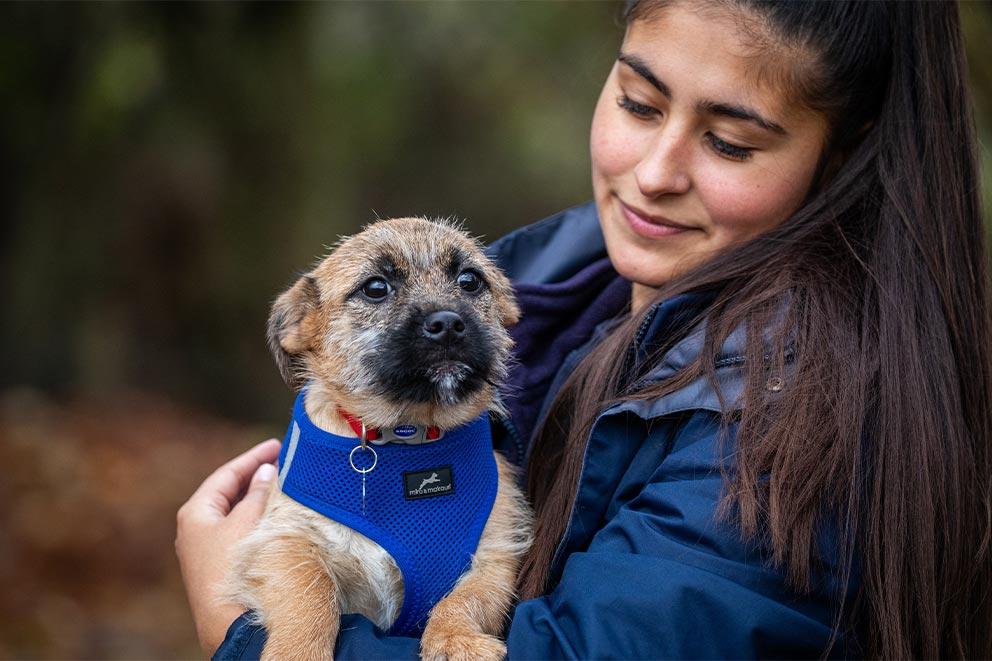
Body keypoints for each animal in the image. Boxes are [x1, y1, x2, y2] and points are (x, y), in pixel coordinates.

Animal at [227, 218, 536, 660]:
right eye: (375, 287)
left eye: (470, 280)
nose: (447, 323)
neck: (407, 436)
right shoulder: (284, 540)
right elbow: (311, 592)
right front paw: (298, 651)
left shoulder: (495, 553)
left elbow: (466, 599)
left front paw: (455, 639)